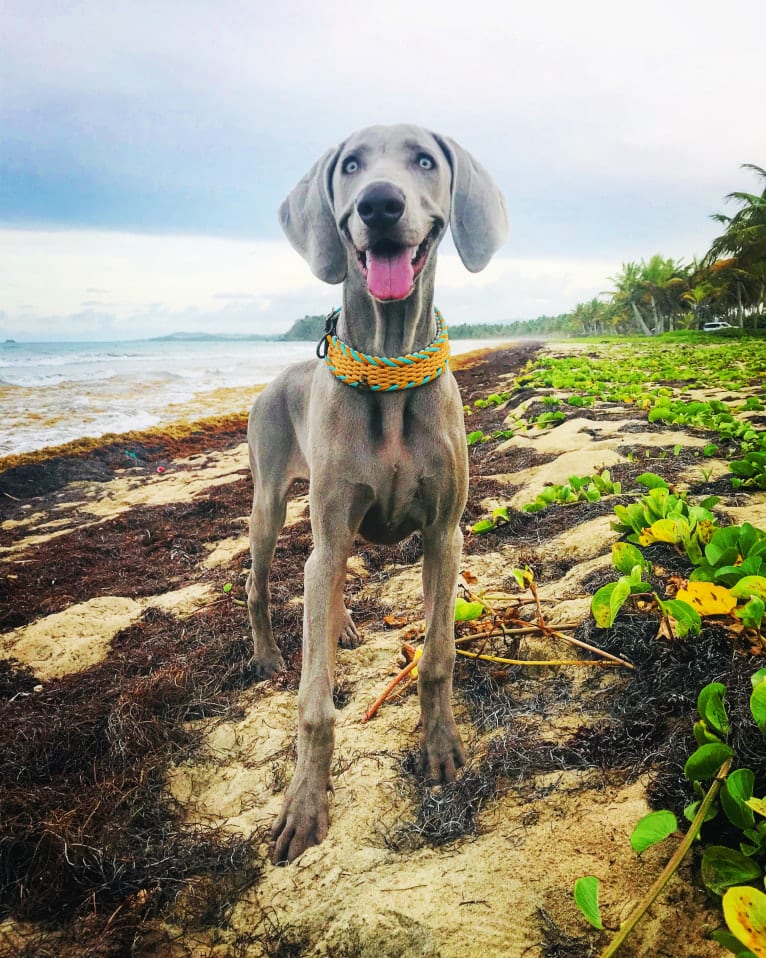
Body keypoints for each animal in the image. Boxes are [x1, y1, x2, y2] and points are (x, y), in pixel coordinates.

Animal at [248, 124, 510, 868]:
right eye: (351, 165)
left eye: (423, 159)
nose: (380, 204)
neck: (389, 367)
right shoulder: (331, 530)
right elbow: (313, 704)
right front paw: (304, 806)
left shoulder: (445, 535)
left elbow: (438, 657)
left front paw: (441, 749)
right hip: (272, 504)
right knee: (264, 582)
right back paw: (270, 654)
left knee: (327, 586)